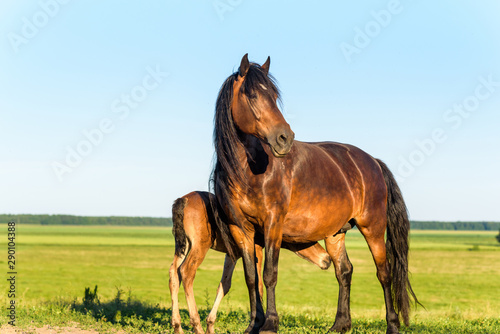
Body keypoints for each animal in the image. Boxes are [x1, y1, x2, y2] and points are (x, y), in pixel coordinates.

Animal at [211, 53, 418, 332]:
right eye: (252, 95)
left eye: (274, 96)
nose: (284, 138)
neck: (249, 170)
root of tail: (372, 161)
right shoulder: (241, 229)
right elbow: (251, 278)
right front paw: (254, 323)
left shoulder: (273, 224)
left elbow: (269, 274)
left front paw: (270, 323)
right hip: (335, 233)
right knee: (344, 271)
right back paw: (340, 324)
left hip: (372, 228)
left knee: (384, 274)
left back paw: (392, 325)